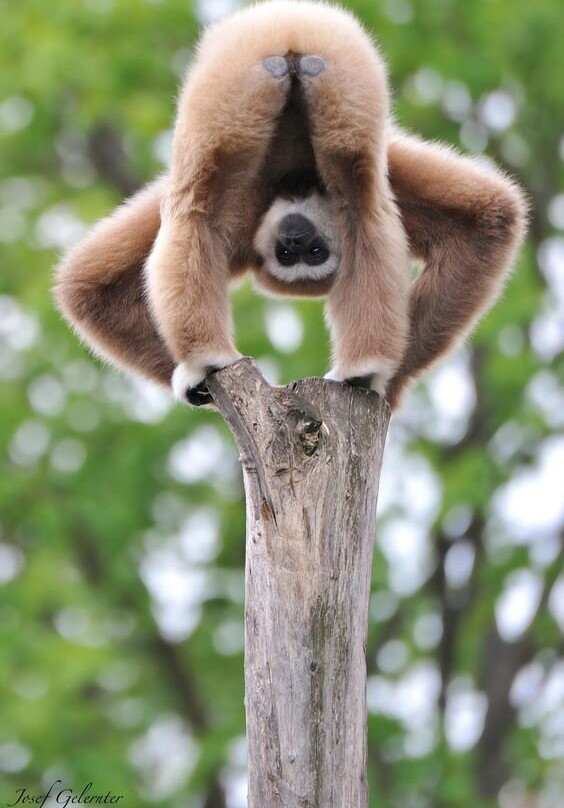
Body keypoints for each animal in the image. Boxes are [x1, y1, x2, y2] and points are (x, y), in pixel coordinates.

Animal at [54, 0, 527, 411]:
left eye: (313, 253)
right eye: (287, 253)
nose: (297, 240)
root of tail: (292, 35)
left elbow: (487, 220)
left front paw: (393, 382)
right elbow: (88, 287)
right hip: (275, 69)